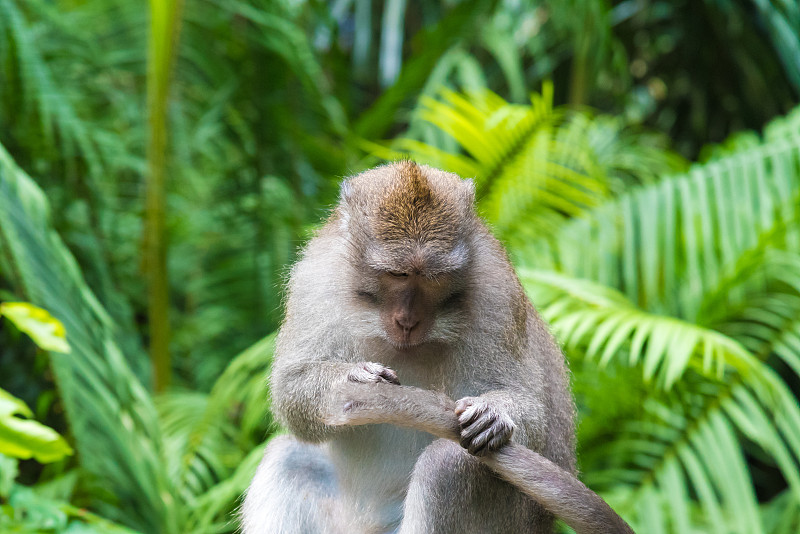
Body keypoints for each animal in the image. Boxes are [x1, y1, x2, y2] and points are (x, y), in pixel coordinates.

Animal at [241, 163, 636, 534]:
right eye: (397, 274)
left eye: (432, 277)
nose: (407, 321)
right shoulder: (315, 277)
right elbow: (291, 390)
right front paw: (355, 377)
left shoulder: (497, 291)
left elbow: (533, 414)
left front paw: (493, 415)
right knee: (289, 457)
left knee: (447, 464)